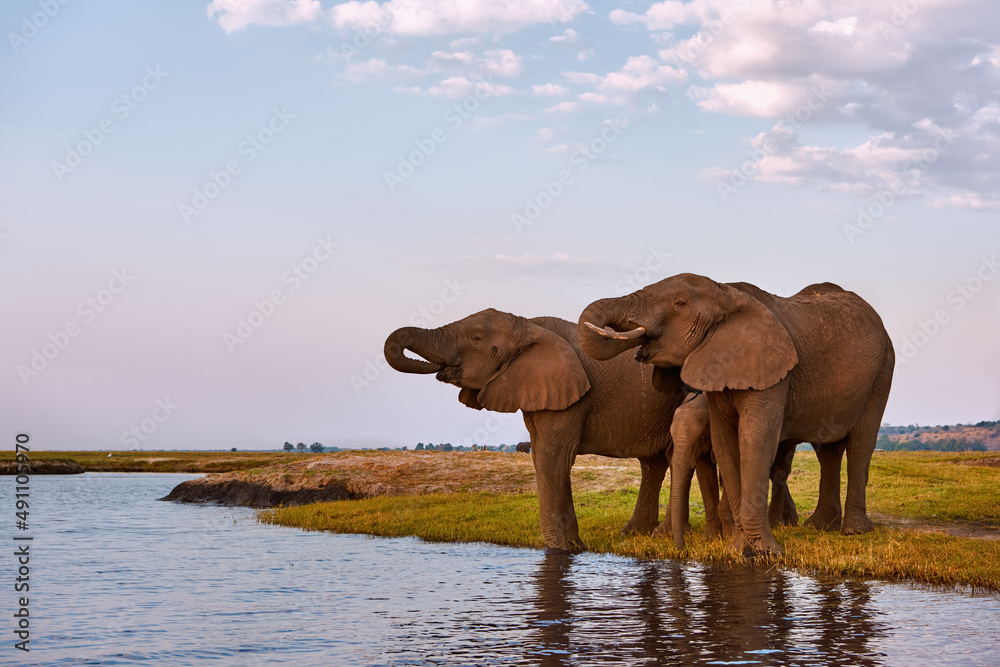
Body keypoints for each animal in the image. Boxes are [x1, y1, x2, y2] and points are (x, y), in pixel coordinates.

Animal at [384, 308, 689, 553]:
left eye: (476, 338)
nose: (438, 368)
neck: (528, 326)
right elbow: (544, 456)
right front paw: (573, 547)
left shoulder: (571, 395)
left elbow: (552, 456)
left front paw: (566, 549)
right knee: (654, 463)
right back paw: (636, 533)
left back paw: (660, 536)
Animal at [579, 274, 894, 556]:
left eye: (679, 303)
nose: (681, 550)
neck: (727, 293)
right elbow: (725, 444)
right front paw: (738, 549)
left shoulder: (772, 372)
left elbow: (755, 440)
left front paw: (765, 553)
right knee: (827, 449)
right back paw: (820, 526)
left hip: (882, 372)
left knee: (861, 444)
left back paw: (854, 531)